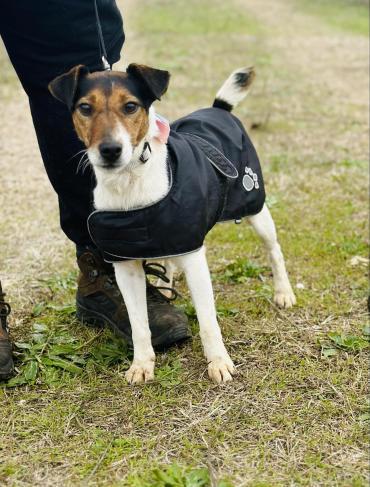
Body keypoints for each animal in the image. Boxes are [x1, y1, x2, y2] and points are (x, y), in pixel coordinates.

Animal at [49, 63, 298, 386]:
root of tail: (219, 108)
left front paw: (219, 362)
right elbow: (138, 323)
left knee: (274, 250)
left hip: (255, 207)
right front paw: (142, 364)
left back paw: (283, 292)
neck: (130, 181)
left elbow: (207, 320)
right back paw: (165, 287)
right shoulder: (124, 263)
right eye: (85, 108)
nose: (110, 150)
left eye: (130, 106)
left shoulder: (193, 257)